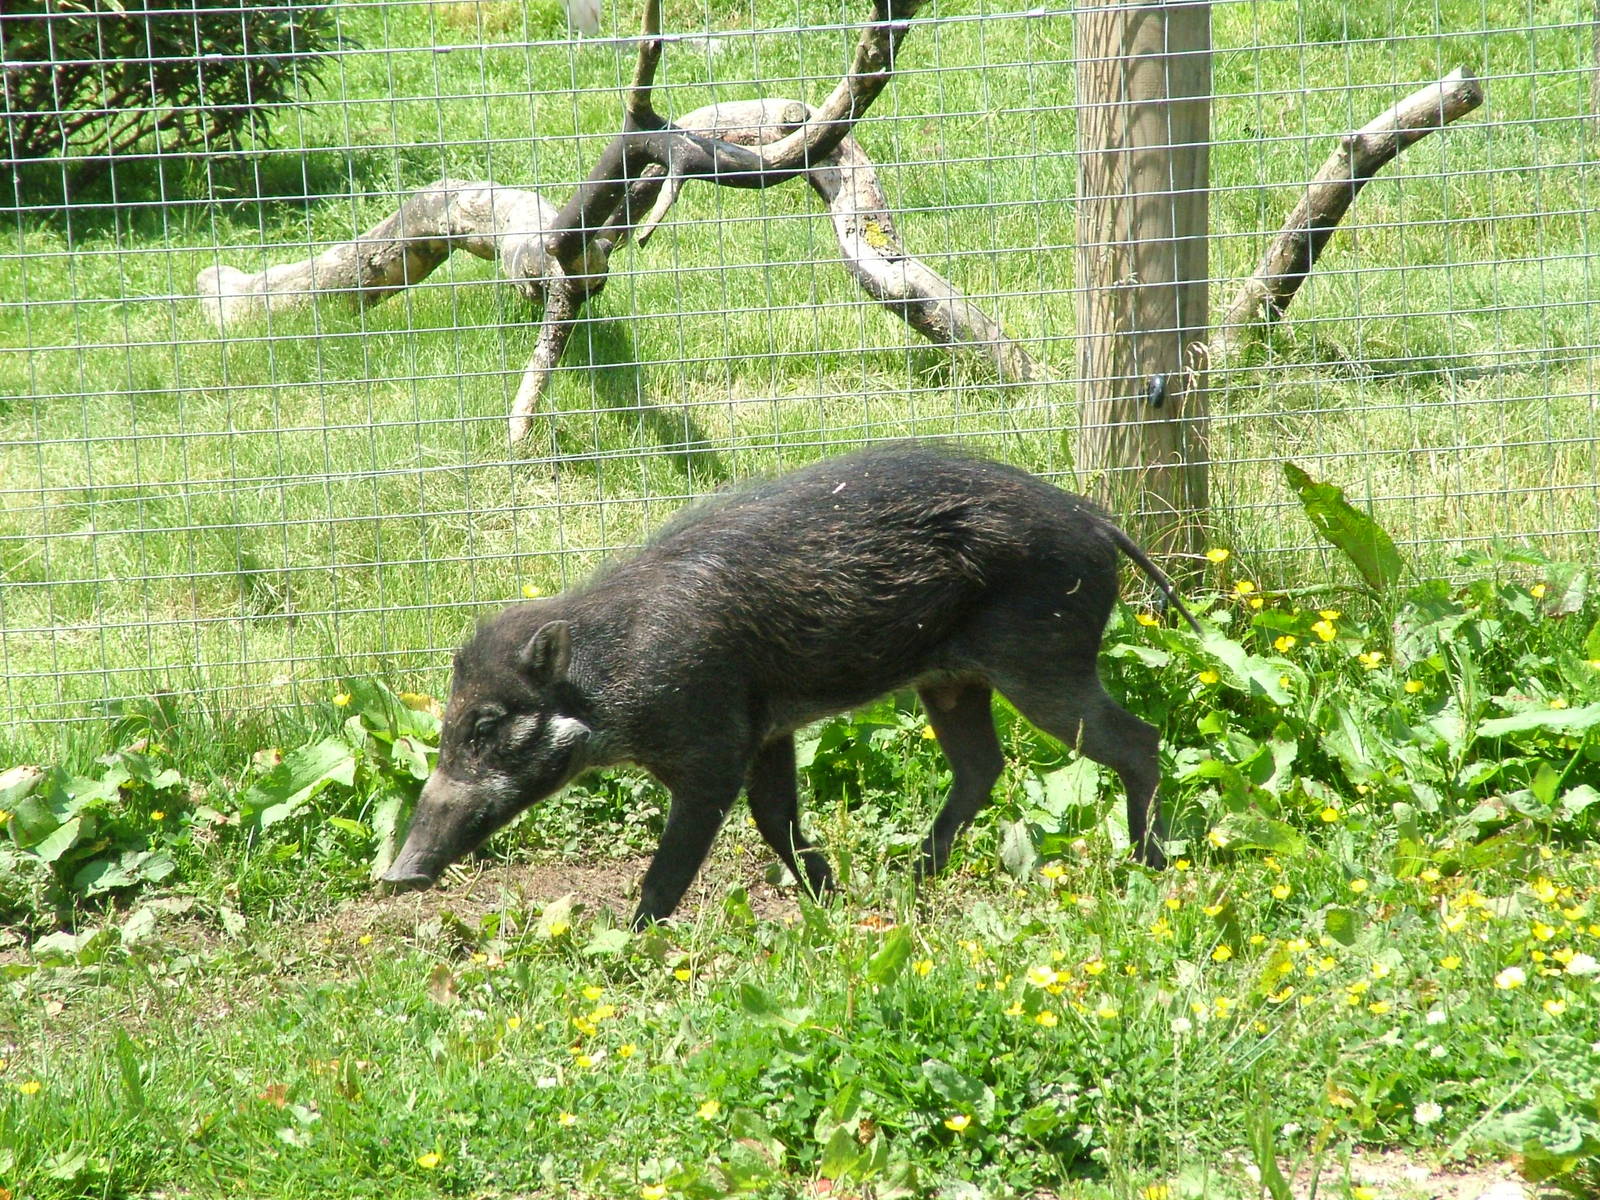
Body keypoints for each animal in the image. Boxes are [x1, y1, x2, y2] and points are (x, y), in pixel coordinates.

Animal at [382, 445, 1200, 928]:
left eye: (487, 726)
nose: (396, 877)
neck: (609, 682)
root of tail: (1099, 522)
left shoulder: (713, 749)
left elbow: (679, 857)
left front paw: (632, 936)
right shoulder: (768, 731)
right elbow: (776, 819)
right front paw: (829, 900)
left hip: (1044, 664)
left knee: (1138, 740)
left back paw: (1150, 865)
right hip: (954, 681)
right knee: (982, 766)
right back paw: (907, 883)